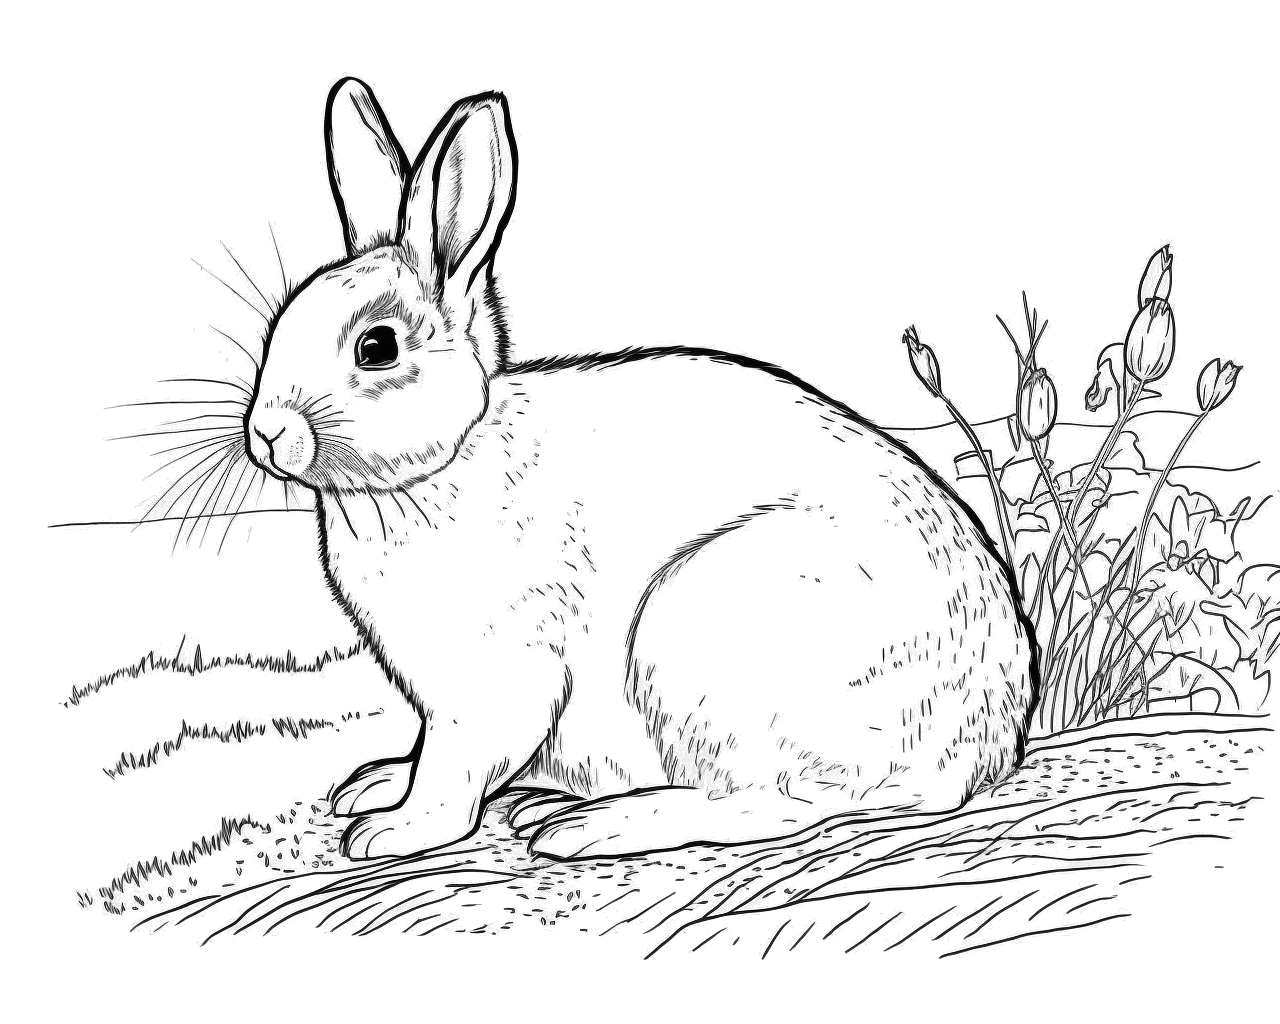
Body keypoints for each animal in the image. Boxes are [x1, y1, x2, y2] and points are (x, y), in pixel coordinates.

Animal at [244, 79, 1039, 861]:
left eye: (376, 347)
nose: (267, 433)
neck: (454, 456)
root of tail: (979, 753)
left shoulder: (501, 672)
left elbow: (459, 769)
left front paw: (396, 829)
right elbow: (432, 753)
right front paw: (375, 784)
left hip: (706, 636)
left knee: (776, 806)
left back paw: (590, 827)